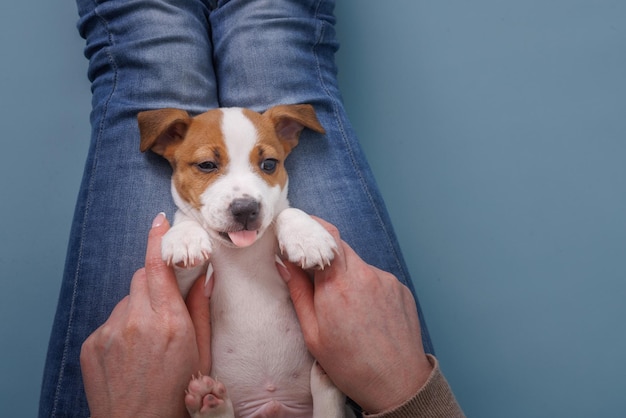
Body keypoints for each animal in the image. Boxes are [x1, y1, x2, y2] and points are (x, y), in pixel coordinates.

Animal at [138, 105, 352, 418]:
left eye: (269, 164)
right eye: (206, 165)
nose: (245, 209)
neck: (242, 252)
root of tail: (272, 404)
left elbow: (285, 212)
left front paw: (307, 235)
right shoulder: (182, 293)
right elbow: (186, 221)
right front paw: (185, 236)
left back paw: (326, 383)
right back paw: (210, 403)